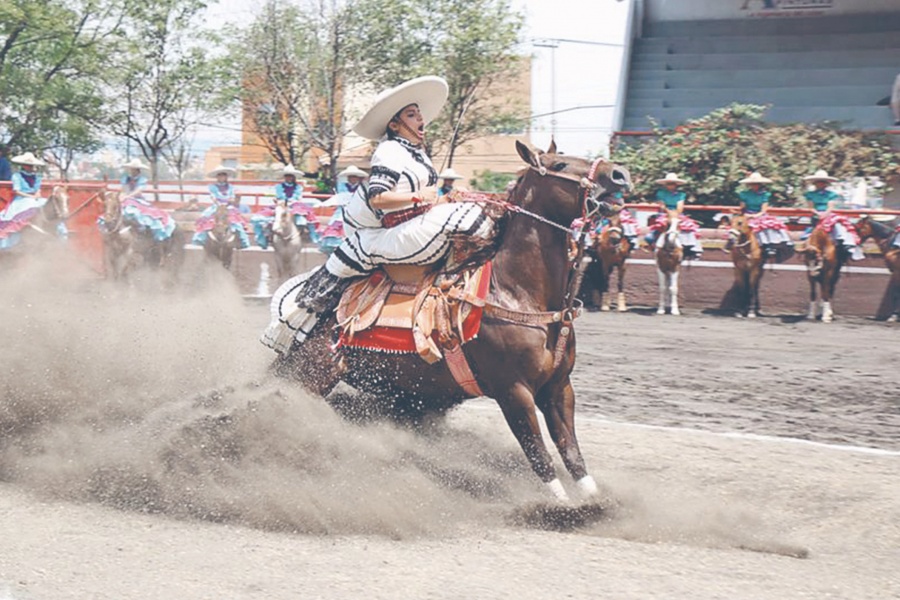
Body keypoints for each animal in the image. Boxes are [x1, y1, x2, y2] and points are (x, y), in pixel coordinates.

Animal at [270, 142, 628, 502]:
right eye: (559, 164)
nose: (619, 173)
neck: (517, 293)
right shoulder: (514, 392)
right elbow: (539, 455)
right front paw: (562, 506)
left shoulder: (559, 389)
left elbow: (572, 453)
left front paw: (598, 502)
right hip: (312, 377)